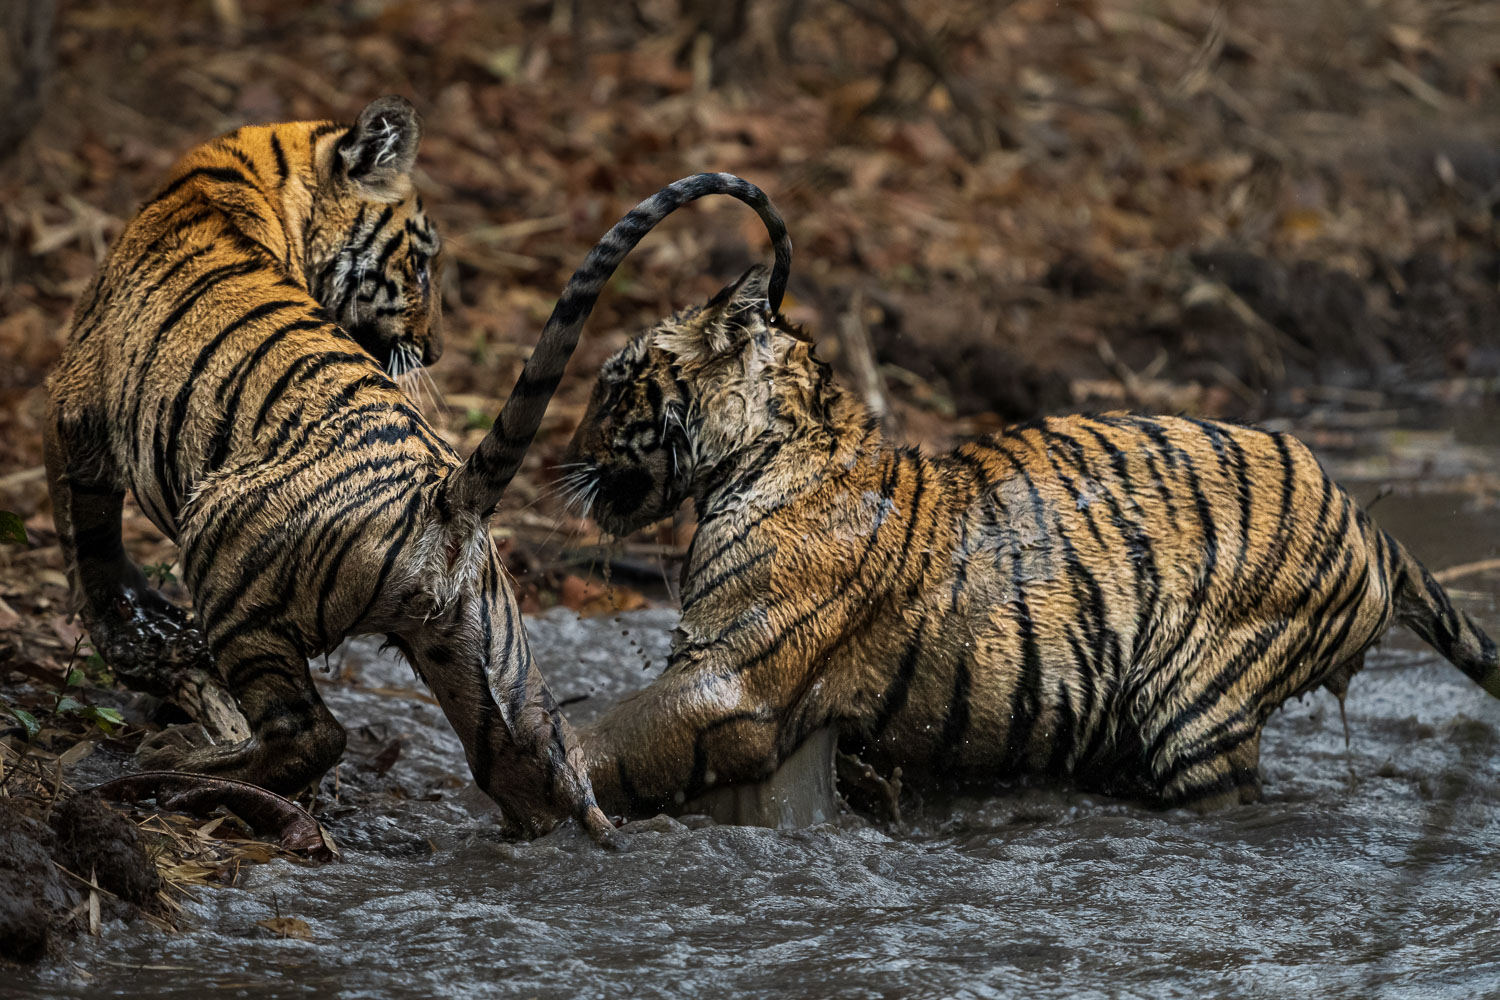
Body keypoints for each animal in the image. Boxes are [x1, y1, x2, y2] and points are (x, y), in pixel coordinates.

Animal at [43, 90, 790, 843]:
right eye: (421, 266)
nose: (432, 352)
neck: (246, 175)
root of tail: (447, 492)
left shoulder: (74, 405)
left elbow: (89, 540)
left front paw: (131, 634)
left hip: (225, 552)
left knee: (310, 733)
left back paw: (180, 768)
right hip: (487, 665)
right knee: (547, 772)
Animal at [558, 264, 1500, 822]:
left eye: (612, 383)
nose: (564, 456)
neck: (765, 447)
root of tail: (1367, 518)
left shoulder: (733, 677)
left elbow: (620, 739)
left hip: (1199, 709)